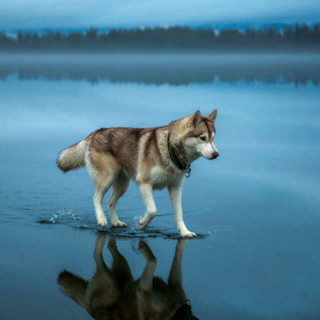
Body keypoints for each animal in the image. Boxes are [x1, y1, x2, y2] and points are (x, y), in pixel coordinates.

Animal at [57, 110, 218, 238]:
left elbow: (179, 213)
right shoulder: (144, 183)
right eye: (203, 138)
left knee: (110, 202)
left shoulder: (175, 187)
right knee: (96, 198)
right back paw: (101, 219)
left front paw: (185, 232)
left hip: (122, 185)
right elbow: (153, 210)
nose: (216, 154)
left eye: (213, 138)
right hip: (107, 178)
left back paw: (116, 222)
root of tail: (94, 133)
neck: (170, 149)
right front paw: (142, 223)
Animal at [57, 232, 198, 320]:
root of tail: (89, 310)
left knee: (110, 246)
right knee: (96, 255)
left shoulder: (175, 283)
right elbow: (154, 260)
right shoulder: (143, 289)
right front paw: (144, 249)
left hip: (123, 269)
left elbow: (177, 253)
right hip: (111, 283)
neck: (176, 312)